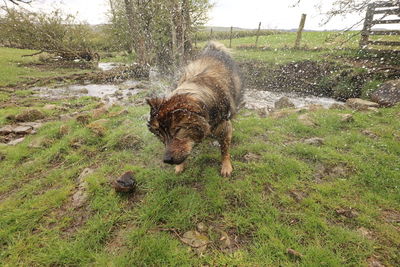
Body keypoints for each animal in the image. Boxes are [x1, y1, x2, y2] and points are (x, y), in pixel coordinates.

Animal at [146, 40, 241, 177]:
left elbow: (224, 149)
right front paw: (180, 166)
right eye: (159, 134)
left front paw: (226, 166)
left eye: (177, 130)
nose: (167, 160)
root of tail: (214, 49)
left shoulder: (224, 127)